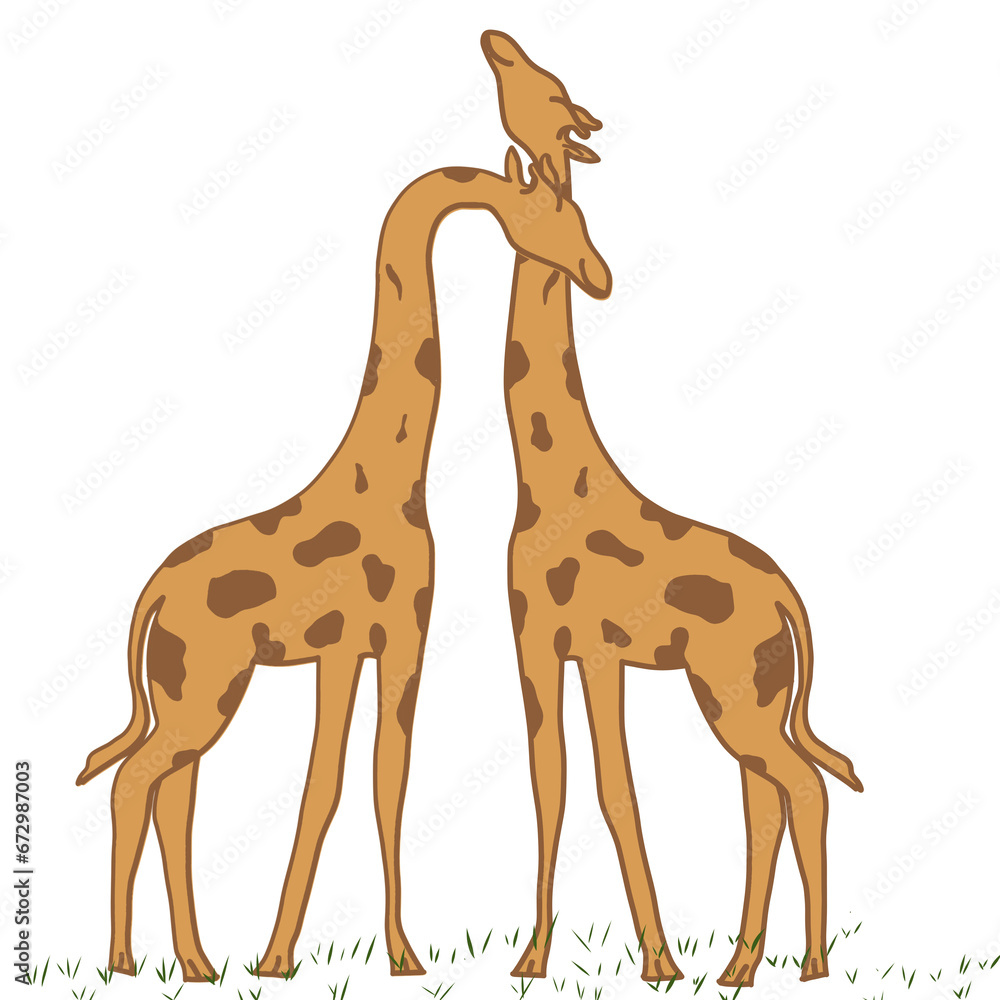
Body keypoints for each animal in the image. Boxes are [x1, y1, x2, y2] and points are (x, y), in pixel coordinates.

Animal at [75, 146, 610, 983]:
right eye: (554, 214)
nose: (599, 275)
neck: (390, 480)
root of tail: (152, 593)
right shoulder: (396, 636)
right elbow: (371, 780)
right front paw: (387, 957)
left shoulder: (346, 651)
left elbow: (342, 783)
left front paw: (288, 955)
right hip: (203, 688)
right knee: (138, 781)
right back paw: (129, 961)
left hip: (191, 688)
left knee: (172, 791)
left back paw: (195, 963)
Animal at [481, 31, 863, 987]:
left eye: (548, 86)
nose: (495, 40)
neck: (547, 487)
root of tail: (791, 600)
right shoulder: (564, 649)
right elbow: (573, 786)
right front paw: (567, 958)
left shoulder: (567, 642)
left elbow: (590, 787)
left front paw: (623, 960)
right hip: (744, 691)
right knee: (766, 796)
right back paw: (739, 967)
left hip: (734, 691)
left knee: (800, 786)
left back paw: (806, 966)